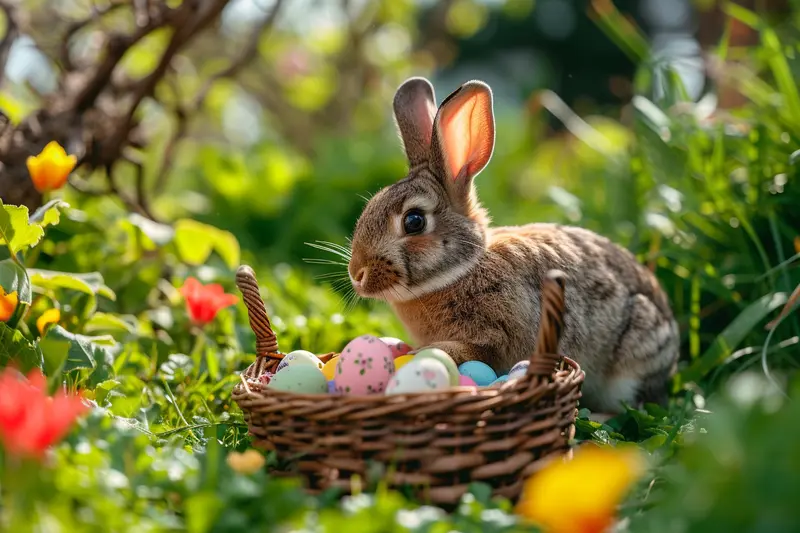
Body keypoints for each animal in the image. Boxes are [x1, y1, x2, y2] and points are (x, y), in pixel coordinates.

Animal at [346, 77, 680, 414]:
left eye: (414, 221)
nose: (356, 273)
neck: (461, 270)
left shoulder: (498, 336)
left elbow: (474, 352)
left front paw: (421, 355)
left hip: (632, 363)